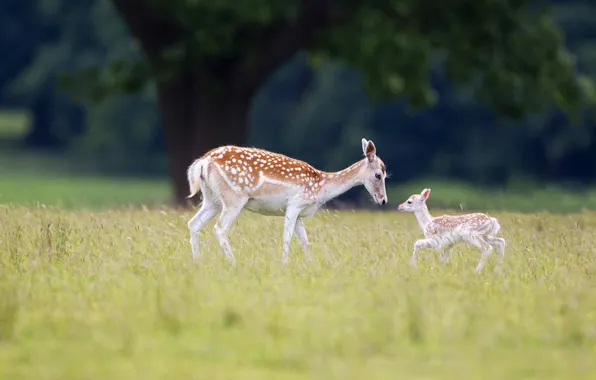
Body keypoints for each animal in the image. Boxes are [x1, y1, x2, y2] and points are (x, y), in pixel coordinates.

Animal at [189, 138, 388, 266]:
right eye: (379, 175)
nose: (383, 200)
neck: (321, 187)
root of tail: (203, 162)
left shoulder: (300, 213)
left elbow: (305, 241)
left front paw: (310, 266)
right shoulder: (295, 204)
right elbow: (287, 237)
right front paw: (284, 266)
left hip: (212, 200)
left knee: (193, 224)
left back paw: (197, 262)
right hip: (234, 197)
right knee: (220, 228)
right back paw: (234, 263)